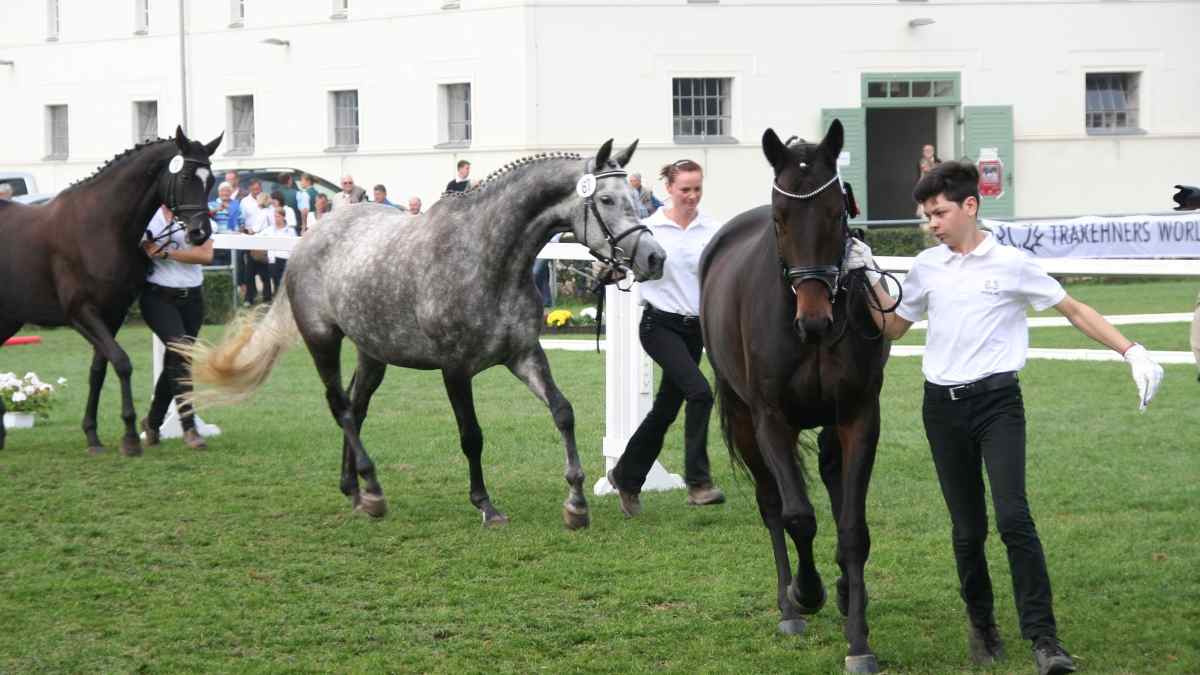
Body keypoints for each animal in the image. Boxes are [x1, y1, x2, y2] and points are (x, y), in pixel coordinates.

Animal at [0, 126, 220, 451]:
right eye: (184, 177)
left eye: (211, 180)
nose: (200, 233)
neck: (101, 225)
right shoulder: (81, 313)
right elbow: (122, 362)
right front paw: (129, 436)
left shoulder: (113, 313)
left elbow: (99, 370)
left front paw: (93, 435)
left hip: (9, 318)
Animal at [181, 138, 667, 526]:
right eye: (607, 200)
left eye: (636, 196)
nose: (654, 257)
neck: (488, 257)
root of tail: (308, 239)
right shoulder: (455, 369)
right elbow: (472, 435)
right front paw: (485, 505)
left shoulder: (524, 354)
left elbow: (563, 412)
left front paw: (576, 502)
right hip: (323, 341)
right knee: (340, 407)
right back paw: (373, 491)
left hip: (372, 353)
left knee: (356, 407)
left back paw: (355, 490)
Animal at [700, 118, 892, 667]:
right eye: (781, 219)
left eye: (836, 213)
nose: (815, 320)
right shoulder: (771, 420)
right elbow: (797, 517)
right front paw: (805, 593)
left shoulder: (857, 416)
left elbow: (852, 528)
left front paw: (858, 640)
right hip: (744, 419)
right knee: (770, 503)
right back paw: (789, 606)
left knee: (830, 476)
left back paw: (846, 590)